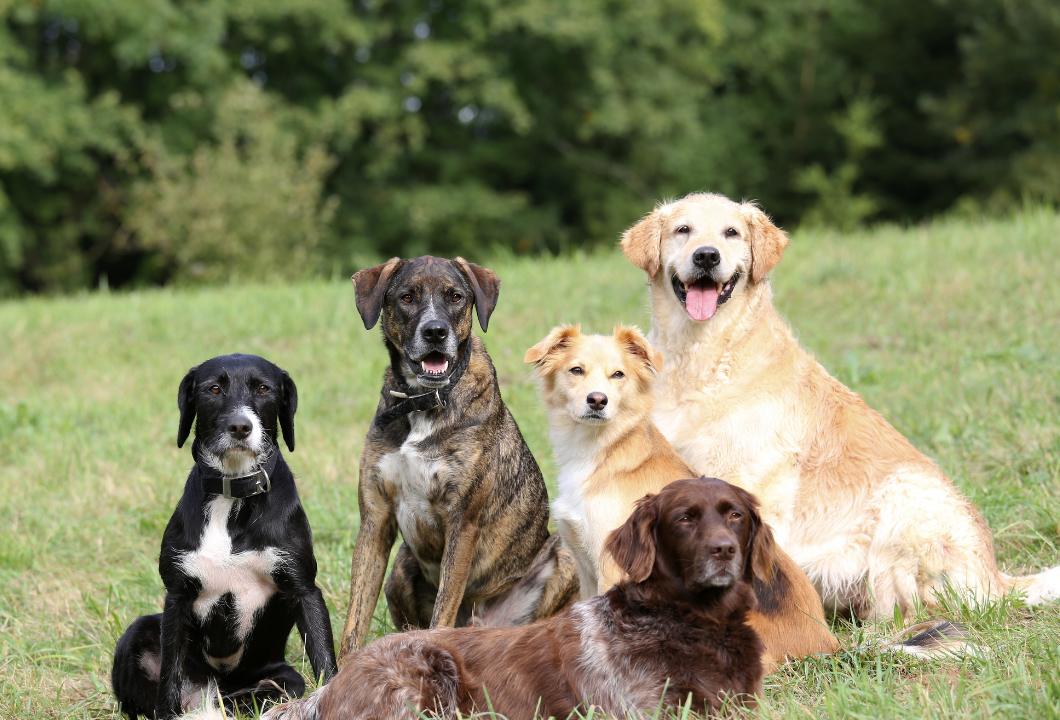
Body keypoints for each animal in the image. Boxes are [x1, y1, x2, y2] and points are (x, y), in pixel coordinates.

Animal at [111, 356, 334, 720]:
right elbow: (168, 677)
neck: (233, 495)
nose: (240, 427)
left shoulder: (304, 589)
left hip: (282, 677)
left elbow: (326, 661)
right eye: (214, 388)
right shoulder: (177, 598)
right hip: (138, 632)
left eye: (264, 388)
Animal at [339, 256, 576, 657]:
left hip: (566, 557)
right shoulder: (375, 519)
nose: (435, 332)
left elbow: (442, 613)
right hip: (400, 567)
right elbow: (354, 624)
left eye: (455, 297)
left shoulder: (462, 522)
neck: (423, 401)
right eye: (406, 297)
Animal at [525, 324, 839, 674]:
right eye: (576, 370)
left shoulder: (613, 569)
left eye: (618, 374)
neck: (602, 451)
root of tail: (826, 640)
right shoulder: (584, 565)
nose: (597, 400)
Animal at [619, 192, 1060, 619]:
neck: (703, 354)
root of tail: (995, 577)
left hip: (905, 500)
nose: (707, 256)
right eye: (683, 230)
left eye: (731, 233)